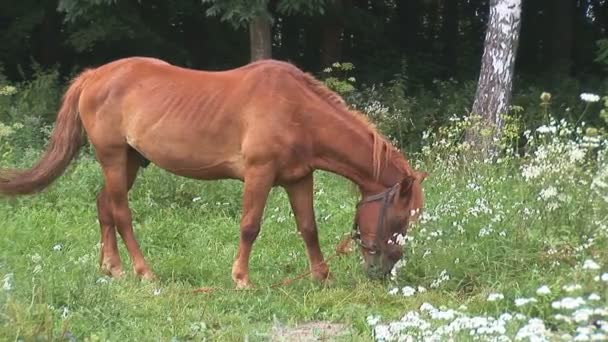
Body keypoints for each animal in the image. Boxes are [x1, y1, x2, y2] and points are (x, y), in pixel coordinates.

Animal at [0, 56, 428, 288]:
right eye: (399, 218)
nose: (385, 270)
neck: (296, 110)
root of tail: (93, 76)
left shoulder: (297, 177)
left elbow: (308, 228)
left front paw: (322, 277)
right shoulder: (259, 174)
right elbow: (250, 227)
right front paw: (241, 279)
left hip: (129, 161)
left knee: (103, 206)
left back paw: (113, 268)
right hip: (112, 157)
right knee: (120, 213)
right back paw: (144, 272)